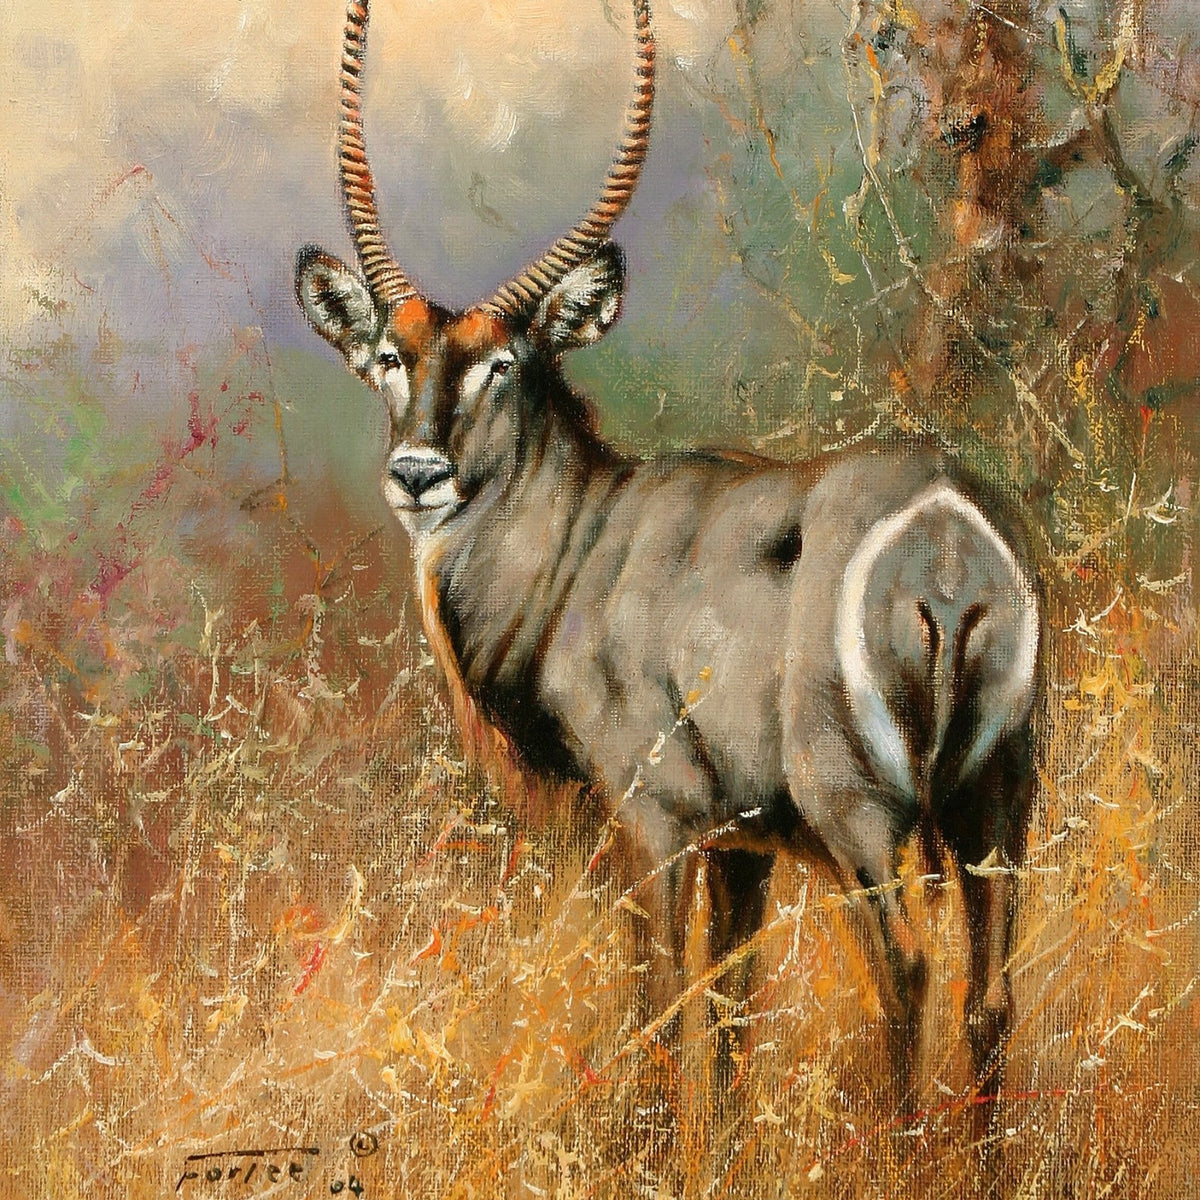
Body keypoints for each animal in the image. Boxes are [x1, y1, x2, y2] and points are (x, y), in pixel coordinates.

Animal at [296, 0, 1041, 1106]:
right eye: (392, 355)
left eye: (505, 365)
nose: (418, 474)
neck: (582, 547)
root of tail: (943, 526)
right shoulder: (743, 847)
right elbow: (731, 1024)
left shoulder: (652, 822)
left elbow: (658, 1019)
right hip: (1000, 799)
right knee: (988, 1001)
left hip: (860, 809)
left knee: (904, 970)